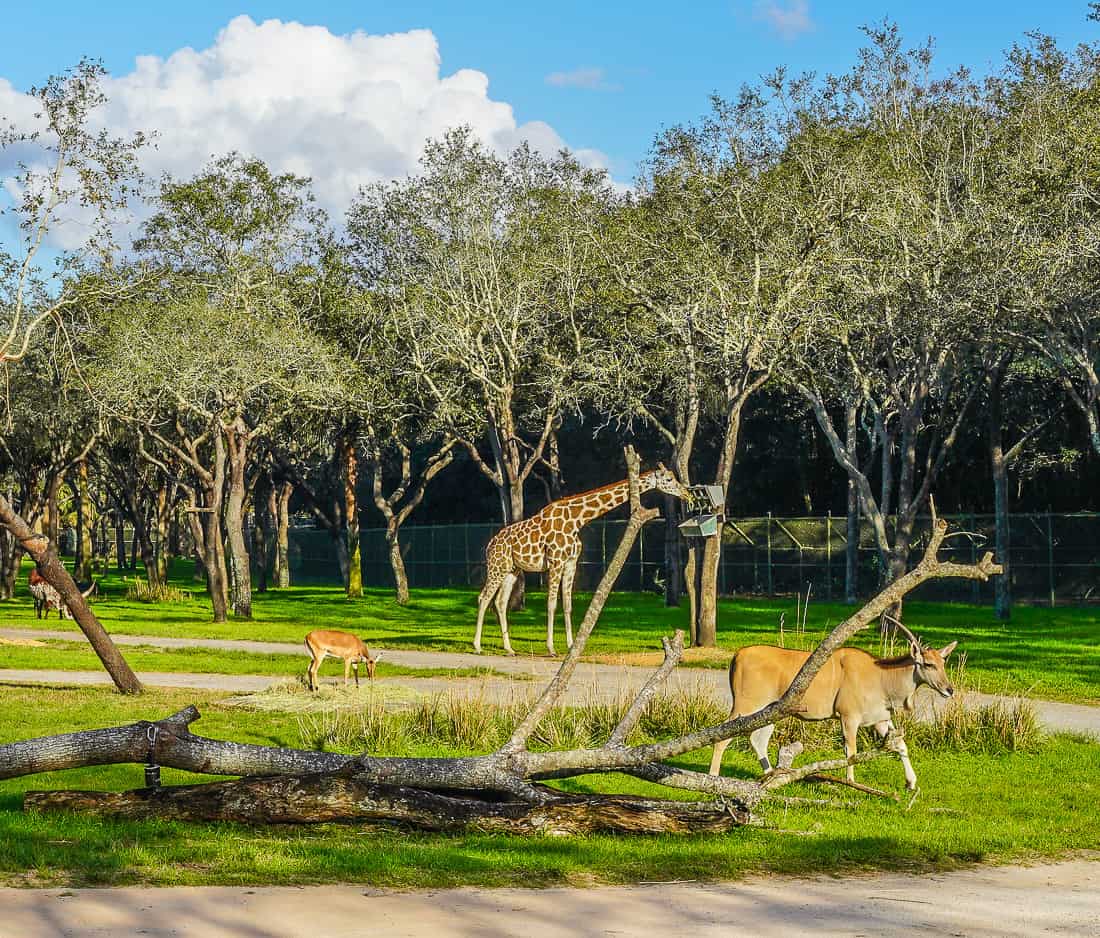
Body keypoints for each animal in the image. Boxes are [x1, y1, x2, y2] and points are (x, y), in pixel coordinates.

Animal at [473, 464, 686, 655]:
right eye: (669, 479)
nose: (685, 493)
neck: (577, 520)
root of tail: (489, 545)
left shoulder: (570, 563)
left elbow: (567, 605)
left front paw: (570, 646)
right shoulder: (556, 562)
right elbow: (551, 604)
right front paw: (551, 648)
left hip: (511, 569)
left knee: (500, 602)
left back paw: (509, 649)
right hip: (497, 567)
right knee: (484, 597)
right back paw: (477, 646)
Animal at [708, 620, 959, 791]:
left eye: (943, 663)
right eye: (928, 664)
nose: (949, 690)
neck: (880, 676)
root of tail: (738, 654)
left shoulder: (880, 720)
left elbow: (900, 745)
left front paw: (911, 783)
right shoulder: (848, 717)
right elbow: (852, 751)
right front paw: (851, 782)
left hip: (769, 712)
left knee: (757, 740)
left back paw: (773, 777)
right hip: (745, 706)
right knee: (722, 737)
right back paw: (713, 777)